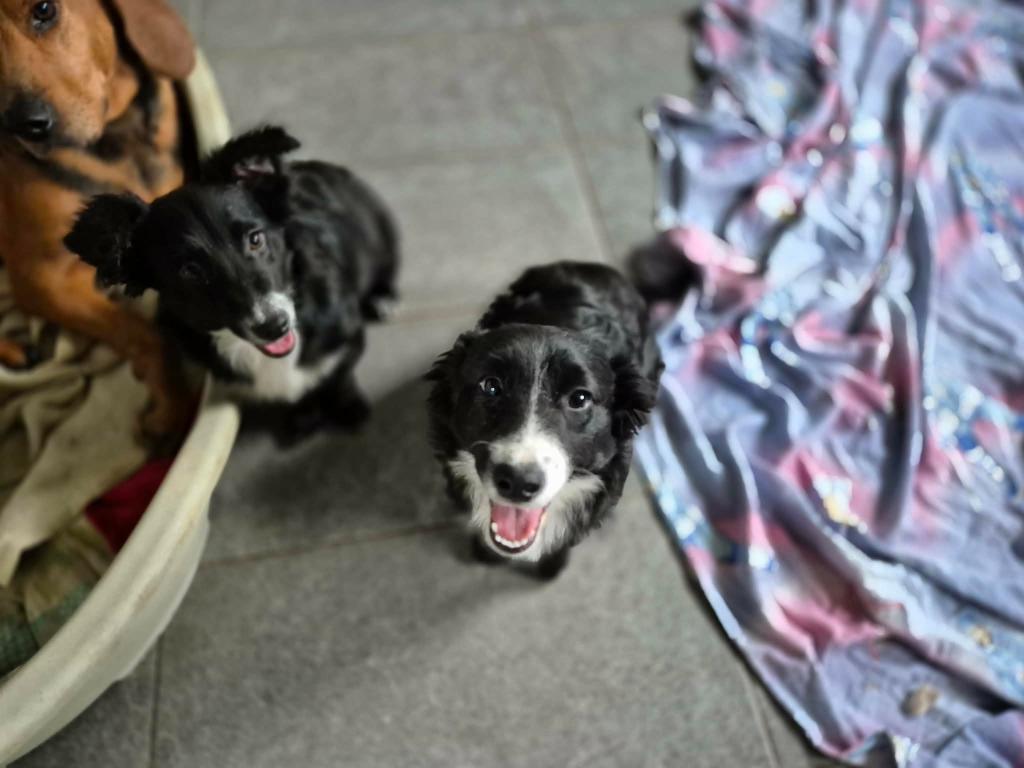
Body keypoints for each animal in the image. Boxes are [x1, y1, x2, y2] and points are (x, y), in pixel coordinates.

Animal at [0, 0, 195, 435]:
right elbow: (146, 334)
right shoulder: (44, 280)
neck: (115, 141)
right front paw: (173, 411)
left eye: (44, 9)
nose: (25, 125)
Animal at [64, 126, 400, 440]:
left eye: (256, 239)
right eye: (190, 271)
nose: (274, 325)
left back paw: (383, 300)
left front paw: (347, 405)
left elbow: (338, 376)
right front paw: (305, 413)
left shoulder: (347, 337)